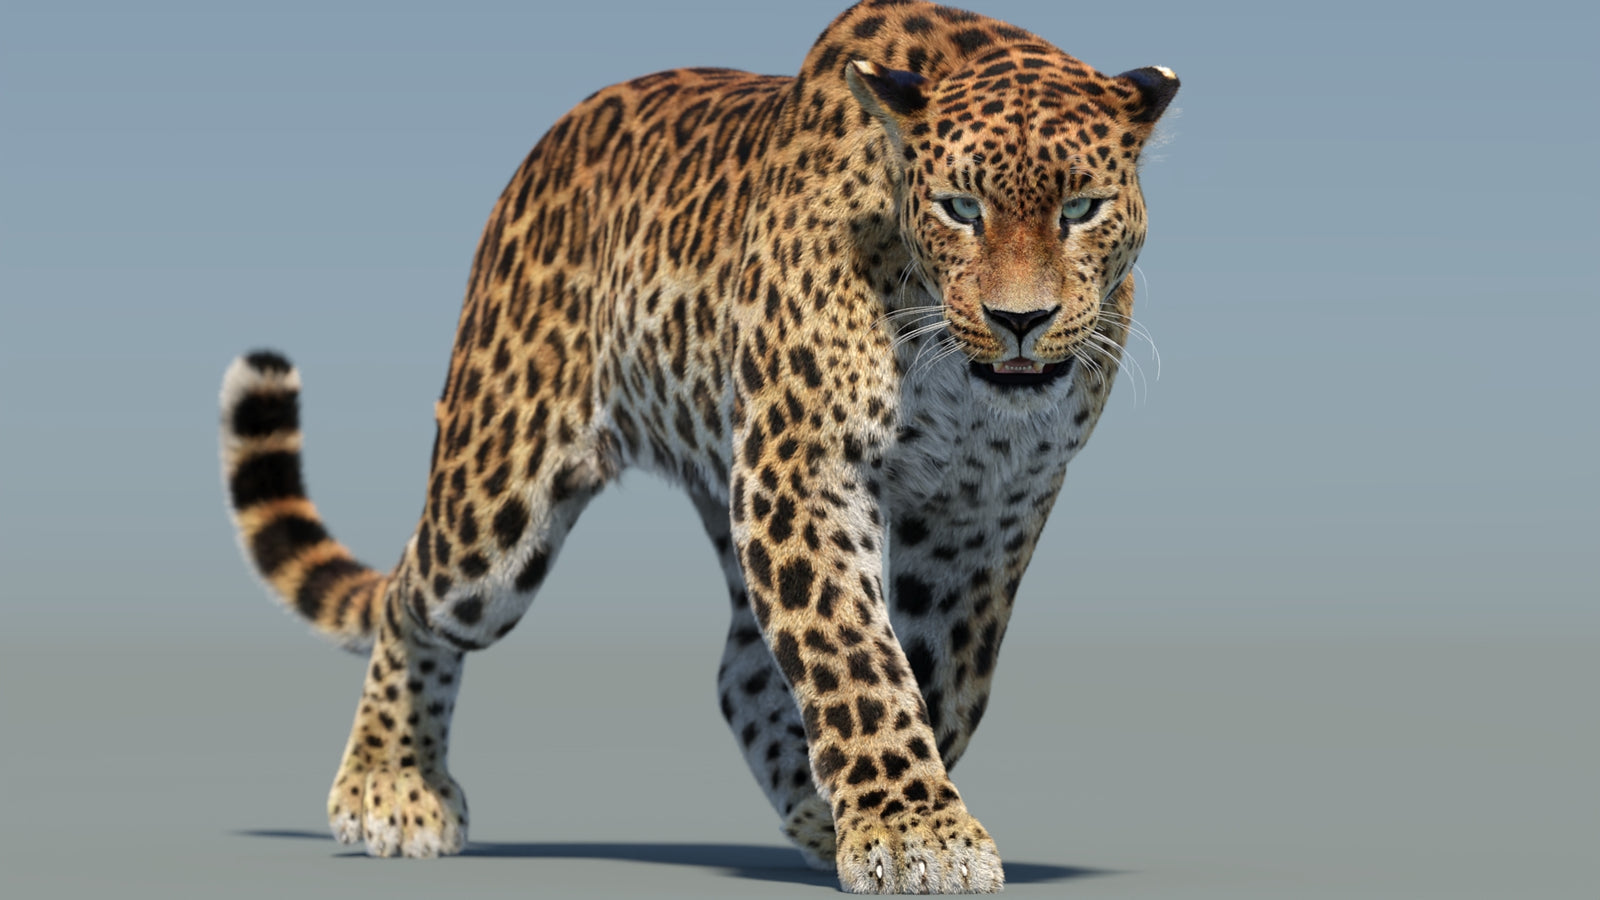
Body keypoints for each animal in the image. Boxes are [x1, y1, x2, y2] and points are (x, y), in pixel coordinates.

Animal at [218, 1, 1177, 893]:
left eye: (1081, 209)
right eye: (960, 209)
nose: (1022, 321)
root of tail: (545, 148)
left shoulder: (984, 513)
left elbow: (941, 671)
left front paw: (881, 816)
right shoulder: (804, 468)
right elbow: (854, 655)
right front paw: (915, 833)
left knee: (740, 670)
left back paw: (806, 807)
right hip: (497, 501)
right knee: (411, 596)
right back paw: (391, 785)